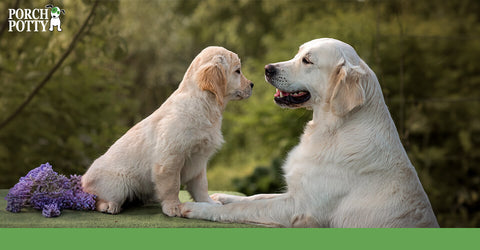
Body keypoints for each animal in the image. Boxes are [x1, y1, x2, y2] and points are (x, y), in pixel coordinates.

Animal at [81, 47, 255, 217]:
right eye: (238, 71)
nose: (252, 84)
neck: (203, 104)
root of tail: (82, 180)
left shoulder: (199, 161)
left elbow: (201, 186)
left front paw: (208, 203)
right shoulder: (170, 159)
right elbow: (173, 185)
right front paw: (174, 207)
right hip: (119, 185)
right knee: (95, 199)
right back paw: (109, 205)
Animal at [179, 38, 438, 228]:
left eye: (307, 61)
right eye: (298, 53)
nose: (267, 69)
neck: (332, 128)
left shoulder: (299, 208)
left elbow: (243, 208)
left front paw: (198, 208)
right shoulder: (295, 193)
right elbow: (254, 197)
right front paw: (219, 198)